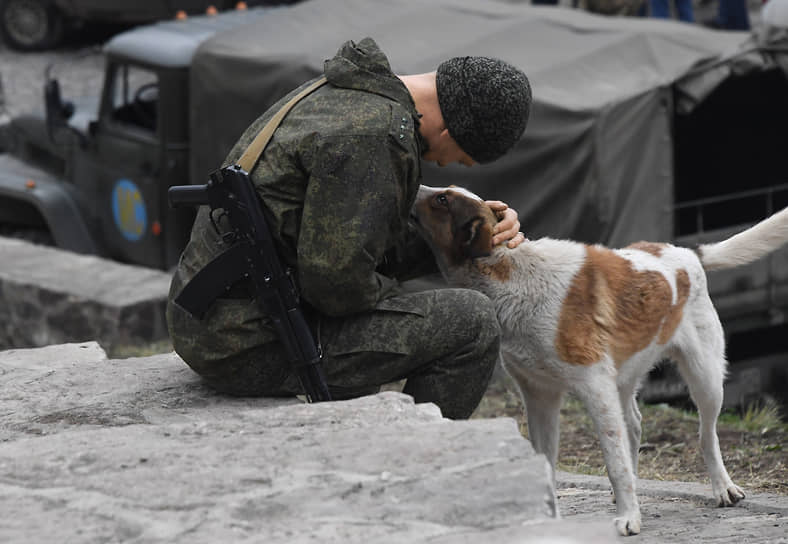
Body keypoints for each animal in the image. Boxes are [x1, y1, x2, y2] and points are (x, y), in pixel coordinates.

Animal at [410, 185, 788, 532]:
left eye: (442, 199)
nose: (418, 186)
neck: (508, 270)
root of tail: (682, 250)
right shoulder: (540, 397)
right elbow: (549, 460)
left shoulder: (594, 389)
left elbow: (613, 460)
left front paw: (629, 517)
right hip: (625, 374)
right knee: (633, 424)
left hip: (705, 378)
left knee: (706, 434)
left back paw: (722, 487)